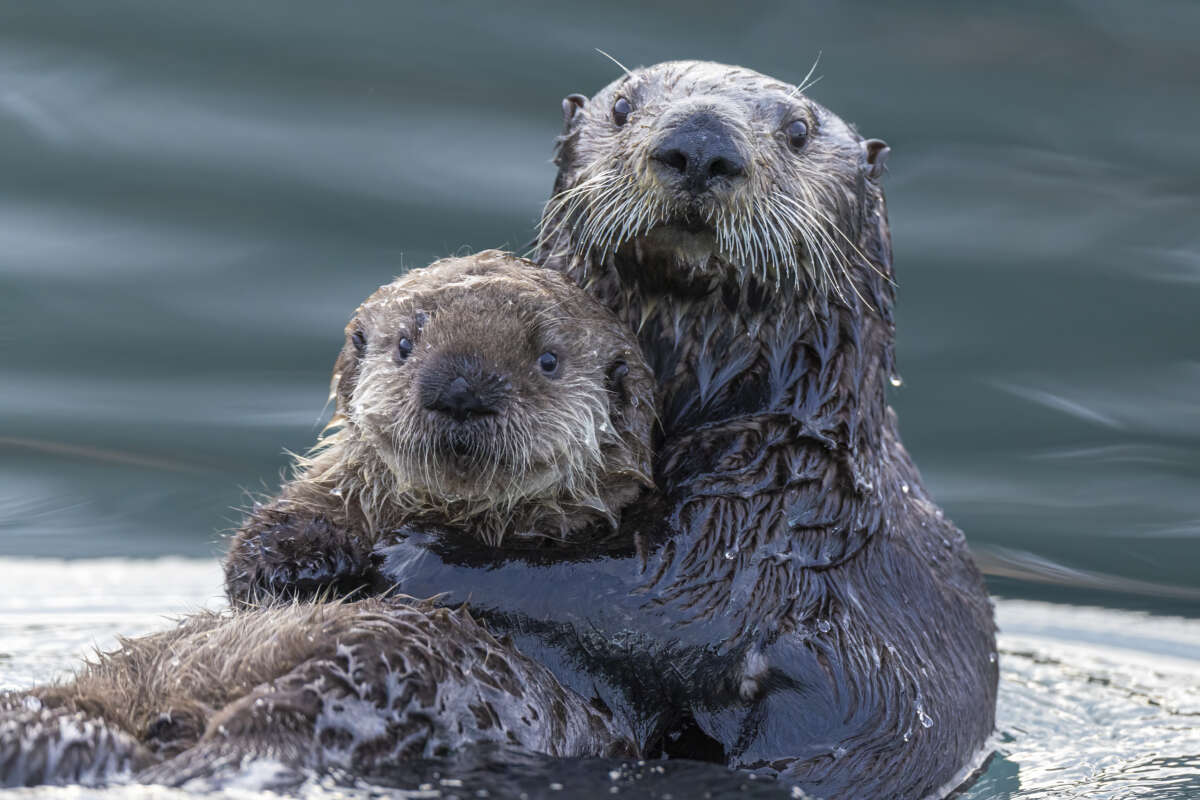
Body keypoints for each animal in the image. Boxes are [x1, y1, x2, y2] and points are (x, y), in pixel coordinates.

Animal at [371, 62, 998, 799]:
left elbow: (660, 599)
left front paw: (411, 551)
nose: (700, 145)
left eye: (799, 129)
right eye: (622, 106)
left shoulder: (775, 513)